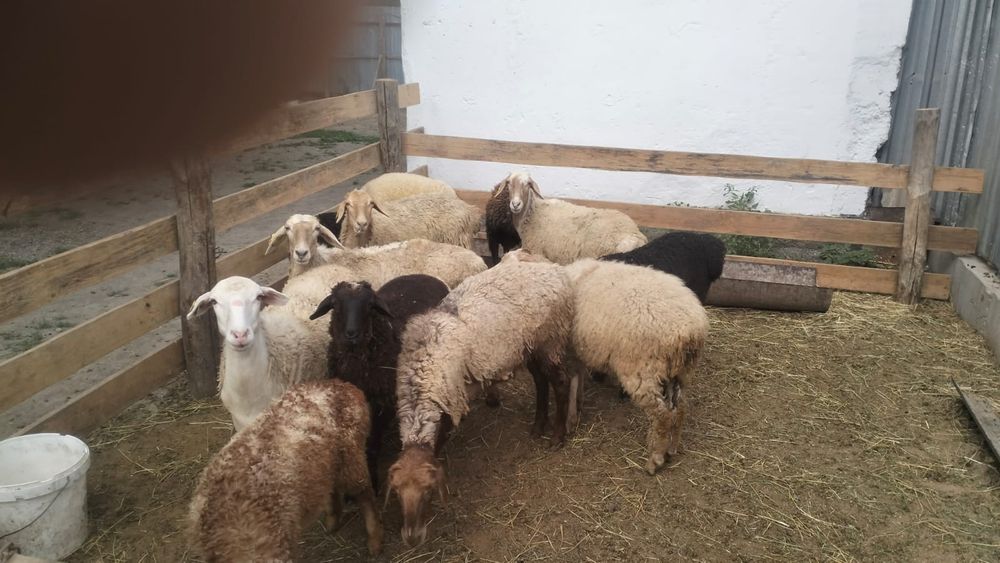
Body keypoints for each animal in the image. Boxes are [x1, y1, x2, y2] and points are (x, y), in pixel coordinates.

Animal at [188, 379, 383, 560]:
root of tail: (342, 385)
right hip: (329, 462)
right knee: (333, 488)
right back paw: (332, 523)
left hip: (351, 456)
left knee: (365, 494)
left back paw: (374, 541)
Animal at [308, 275, 450, 491]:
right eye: (336, 304)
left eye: (369, 305)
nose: (352, 333)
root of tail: (426, 276)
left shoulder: (383, 405)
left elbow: (373, 447)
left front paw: (373, 484)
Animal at [387, 250, 580, 547]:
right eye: (396, 493)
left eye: (428, 492)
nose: (412, 538)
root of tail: (554, 268)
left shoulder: (448, 404)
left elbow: (441, 440)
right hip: (528, 345)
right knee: (540, 382)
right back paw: (537, 427)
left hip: (549, 340)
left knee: (559, 382)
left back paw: (557, 436)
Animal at [564, 259, 709, 475]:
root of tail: (689, 332)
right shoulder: (580, 347)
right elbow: (579, 377)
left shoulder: (571, 349)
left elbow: (573, 381)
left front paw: (571, 418)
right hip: (681, 372)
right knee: (680, 408)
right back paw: (672, 448)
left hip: (642, 370)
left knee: (662, 416)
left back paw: (655, 460)